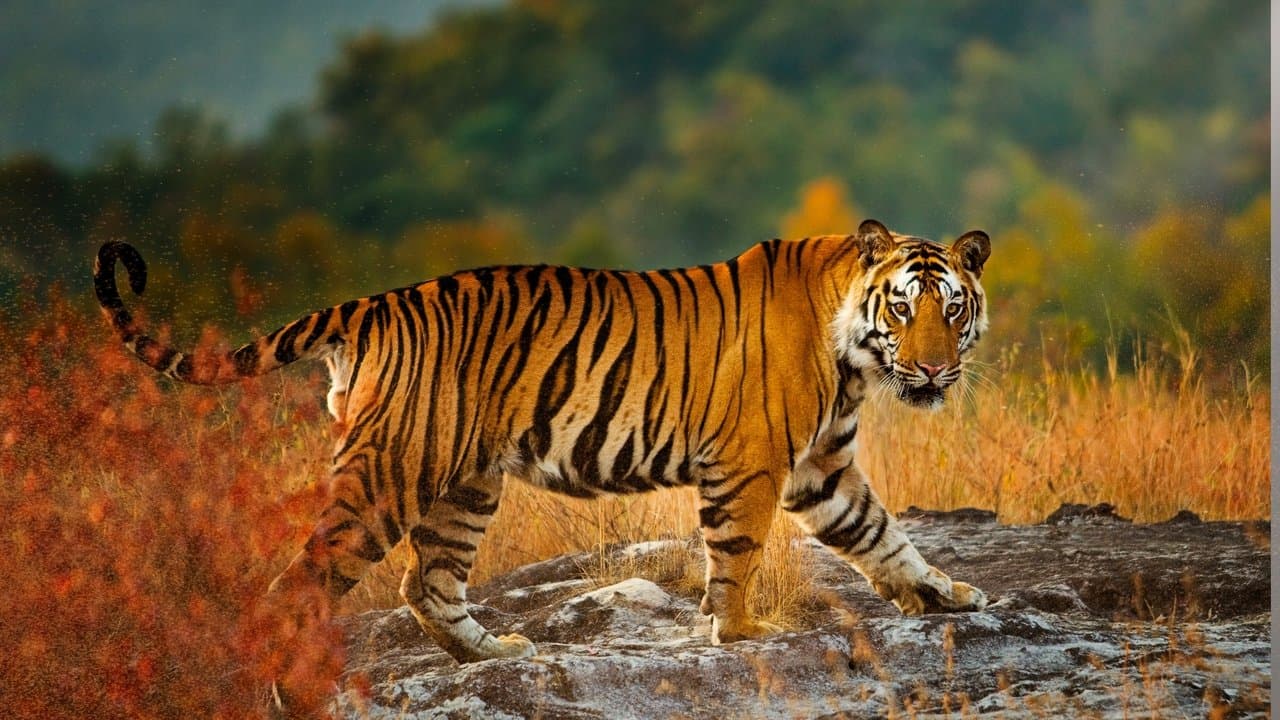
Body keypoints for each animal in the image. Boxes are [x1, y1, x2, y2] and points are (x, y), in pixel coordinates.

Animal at [93, 218, 990, 669]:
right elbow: (736, 556)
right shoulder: (752, 463)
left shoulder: (821, 468)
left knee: (428, 583)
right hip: (389, 474)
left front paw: (946, 594)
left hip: (463, 482)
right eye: (904, 308)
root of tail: (372, 304)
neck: (855, 357)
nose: (934, 370)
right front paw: (740, 635)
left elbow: (883, 535)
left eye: (953, 308)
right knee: (301, 585)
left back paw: (494, 650)